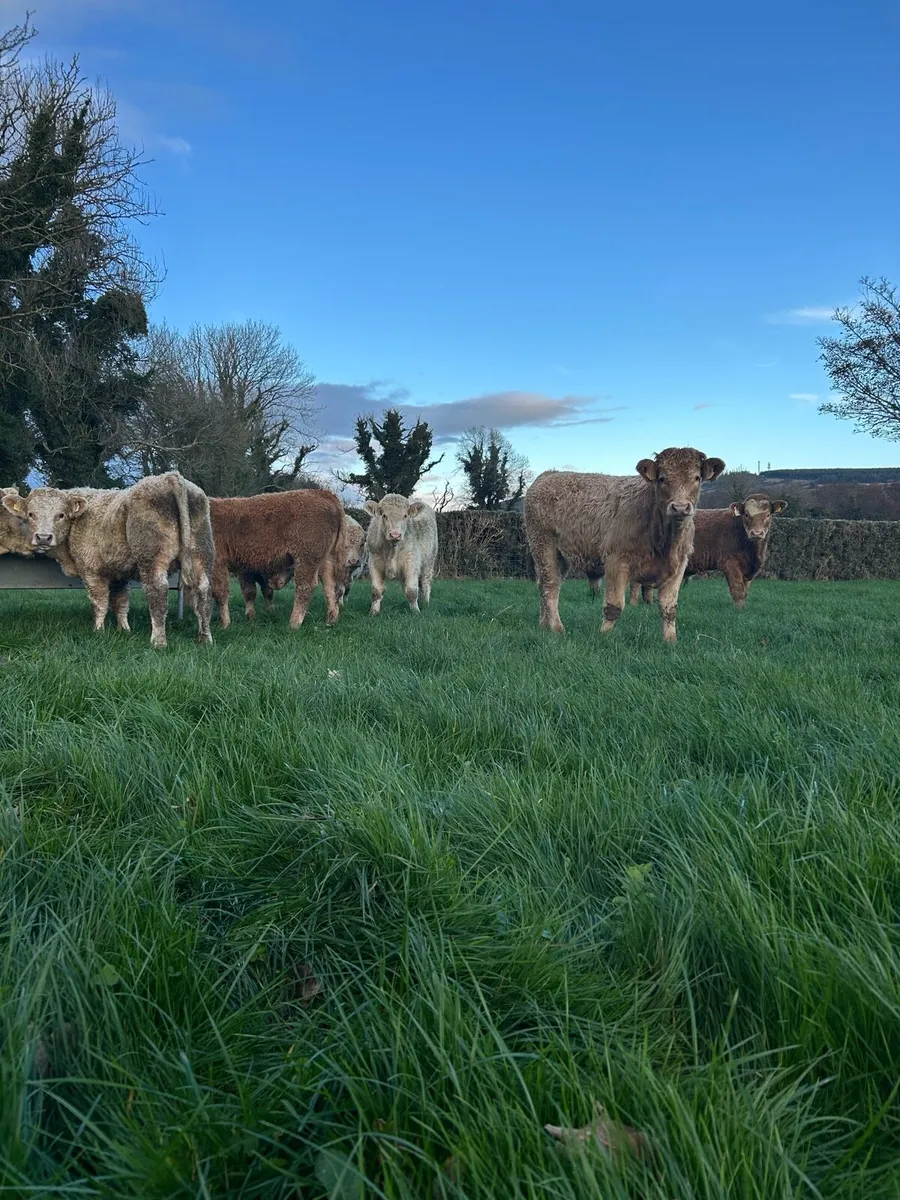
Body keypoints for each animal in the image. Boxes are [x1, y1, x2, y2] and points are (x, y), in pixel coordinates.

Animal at [2, 473, 215, 648]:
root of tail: (170, 477)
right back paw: (205, 638)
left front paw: (98, 630)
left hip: (152, 558)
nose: (43, 537)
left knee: (158, 592)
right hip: (201, 553)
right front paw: (124, 630)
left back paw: (158, 641)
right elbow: (121, 602)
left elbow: (100, 602)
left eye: (60, 515)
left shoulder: (91, 571)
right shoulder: (119, 573)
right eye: (31, 514)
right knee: (203, 591)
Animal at [206, 489, 345, 629]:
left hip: (307, 559)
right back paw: (331, 621)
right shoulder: (245, 569)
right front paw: (251, 618)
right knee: (331, 587)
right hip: (326, 560)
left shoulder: (217, 564)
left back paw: (294, 623)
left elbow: (220, 593)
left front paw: (224, 624)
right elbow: (249, 592)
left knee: (306, 586)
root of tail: (323, 493)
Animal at [525, 447, 725, 643]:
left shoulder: (678, 566)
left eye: (697, 478)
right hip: (543, 545)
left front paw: (670, 640)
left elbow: (669, 608)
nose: (681, 507)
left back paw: (544, 624)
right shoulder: (616, 560)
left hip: (561, 555)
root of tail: (549, 474)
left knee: (548, 584)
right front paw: (603, 636)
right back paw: (556, 627)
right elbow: (614, 606)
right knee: (550, 586)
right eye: (662, 478)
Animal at [628, 493, 788, 608]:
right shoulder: (730, 563)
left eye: (768, 515)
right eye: (746, 514)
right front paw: (740, 609)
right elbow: (737, 589)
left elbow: (745, 590)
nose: (757, 533)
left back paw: (648, 604)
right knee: (636, 583)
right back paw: (633, 604)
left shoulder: (748, 571)